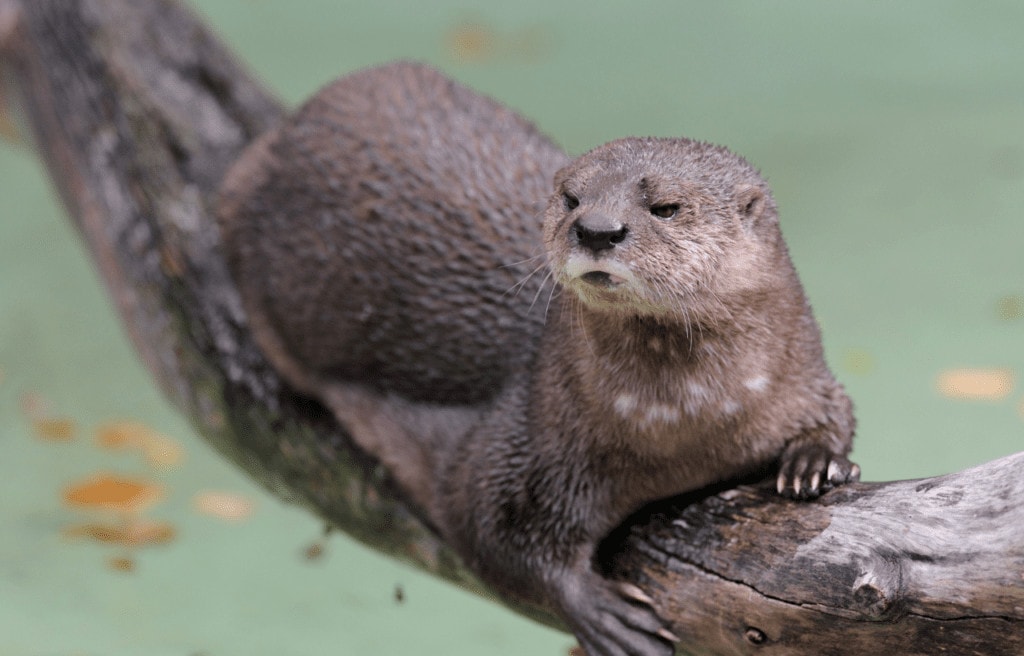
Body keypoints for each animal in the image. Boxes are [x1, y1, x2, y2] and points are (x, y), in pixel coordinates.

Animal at [217, 61, 858, 656]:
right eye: (572, 198)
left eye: (666, 207)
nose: (597, 229)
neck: (688, 427)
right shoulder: (531, 440)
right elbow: (486, 523)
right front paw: (600, 611)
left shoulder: (802, 378)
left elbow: (839, 413)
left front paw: (815, 462)